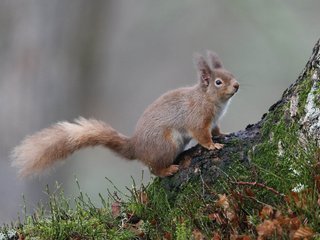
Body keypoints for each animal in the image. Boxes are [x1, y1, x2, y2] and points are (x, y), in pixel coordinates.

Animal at [11, 51, 238, 178]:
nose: (237, 85)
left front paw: (223, 135)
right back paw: (167, 170)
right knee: (154, 169)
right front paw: (212, 146)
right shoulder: (197, 119)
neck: (209, 100)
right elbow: (202, 135)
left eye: (231, 74)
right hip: (166, 144)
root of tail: (135, 148)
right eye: (218, 82)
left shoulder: (213, 121)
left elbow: (216, 130)